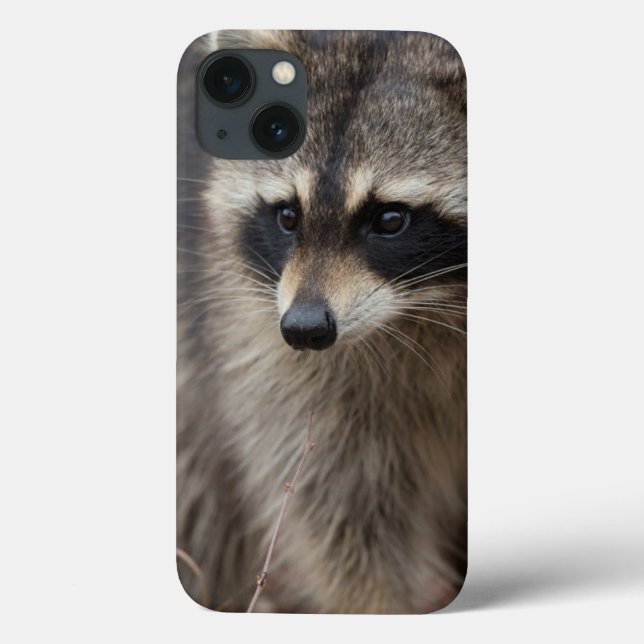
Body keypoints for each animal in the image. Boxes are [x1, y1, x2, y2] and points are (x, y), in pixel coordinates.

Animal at [177, 30, 467, 614]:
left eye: (390, 219)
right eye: (288, 216)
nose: (305, 330)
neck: (427, 305)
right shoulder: (256, 342)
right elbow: (339, 511)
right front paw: (380, 605)